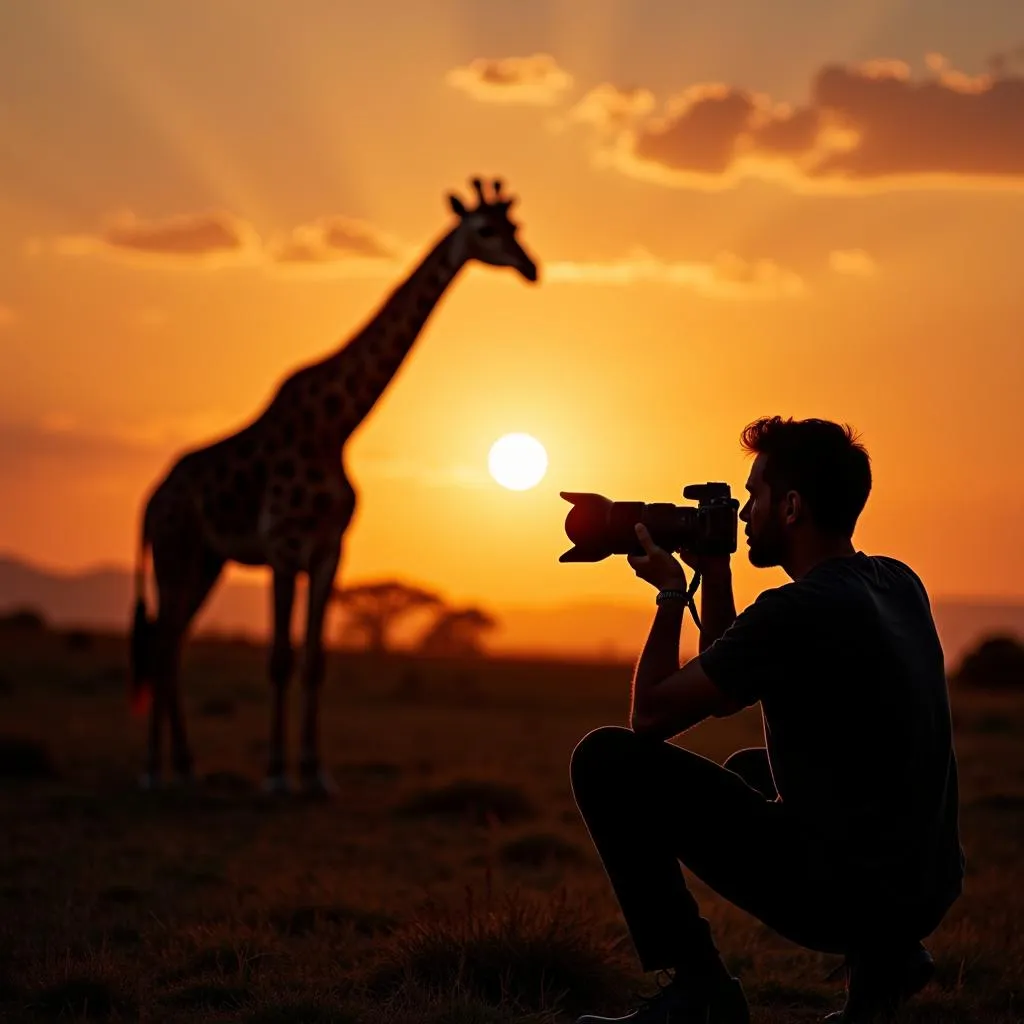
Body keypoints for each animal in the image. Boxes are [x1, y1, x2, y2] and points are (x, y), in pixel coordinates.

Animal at [130, 180, 536, 794]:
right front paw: (277, 776)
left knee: (171, 642)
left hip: (206, 561)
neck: (336, 426)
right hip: (174, 554)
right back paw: (154, 771)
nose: (530, 267)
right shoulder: (283, 547)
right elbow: (279, 657)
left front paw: (316, 774)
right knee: (160, 643)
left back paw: (185, 766)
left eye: (517, 228)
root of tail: (151, 501)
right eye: (488, 231)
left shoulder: (329, 552)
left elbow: (315, 660)